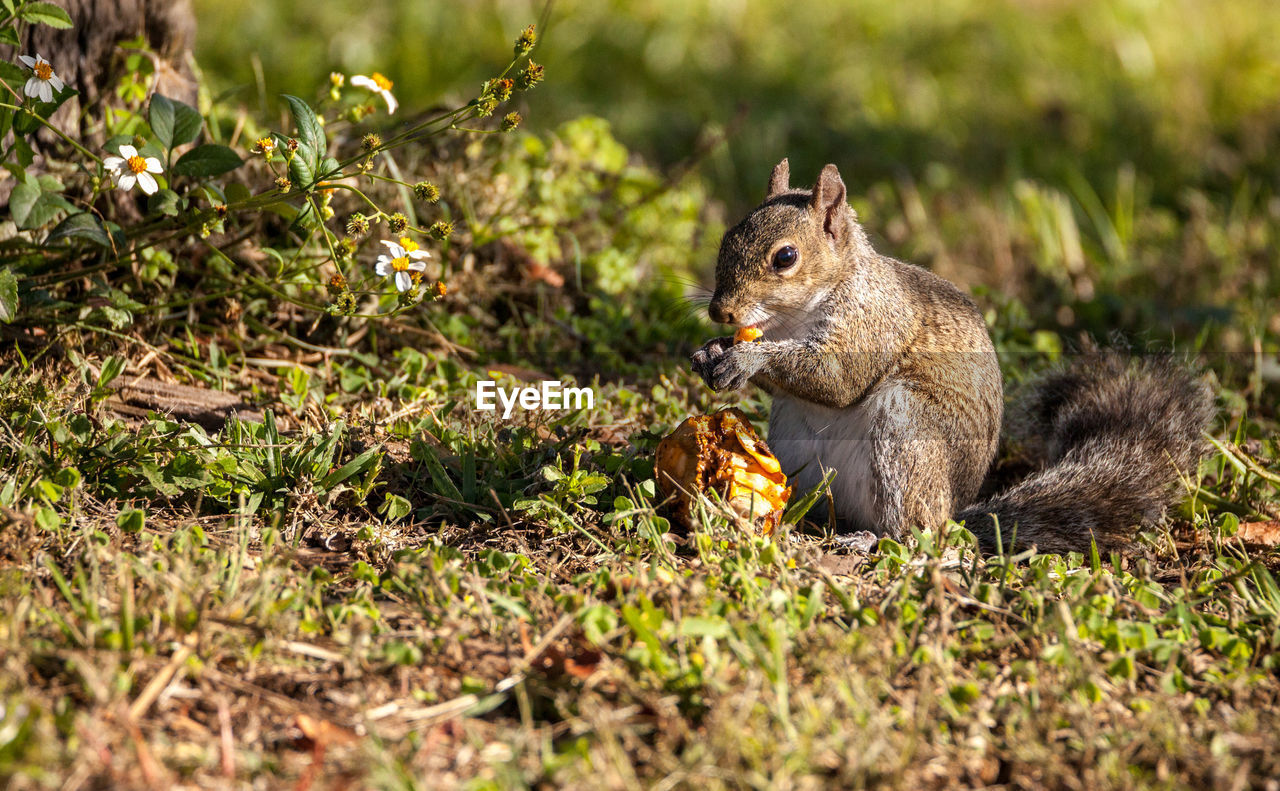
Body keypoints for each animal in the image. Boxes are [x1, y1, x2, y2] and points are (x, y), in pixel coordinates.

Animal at [696, 158, 1213, 555]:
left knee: (914, 530)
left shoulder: (875, 321)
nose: (720, 311)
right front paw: (709, 353)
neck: (796, 317)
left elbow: (838, 378)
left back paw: (870, 539)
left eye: (785, 257)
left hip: (906, 431)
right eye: (726, 238)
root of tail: (955, 515)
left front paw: (749, 359)